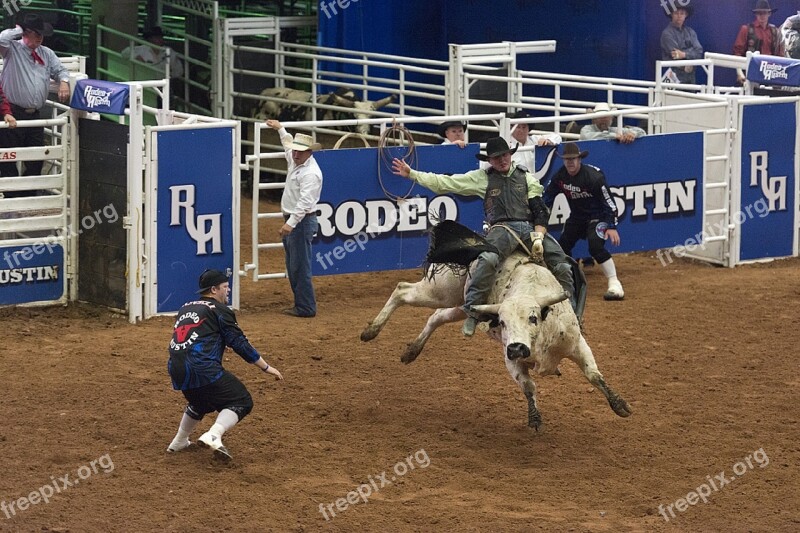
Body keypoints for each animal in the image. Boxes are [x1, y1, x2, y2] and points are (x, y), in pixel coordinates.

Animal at [362, 239, 632, 430]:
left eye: (533, 317)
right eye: (502, 322)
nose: (517, 348)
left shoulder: (576, 344)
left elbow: (594, 375)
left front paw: (620, 405)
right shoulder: (509, 359)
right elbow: (528, 386)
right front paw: (534, 418)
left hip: (459, 304)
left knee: (436, 316)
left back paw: (411, 351)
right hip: (440, 290)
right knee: (402, 290)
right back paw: (370, 331)